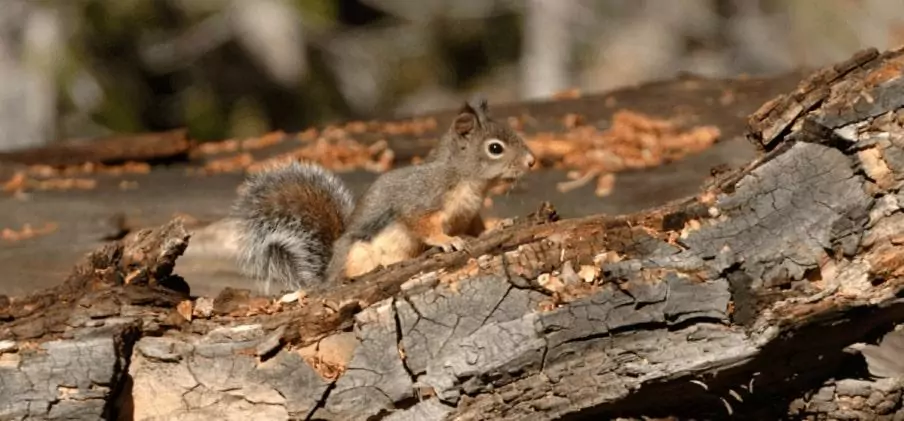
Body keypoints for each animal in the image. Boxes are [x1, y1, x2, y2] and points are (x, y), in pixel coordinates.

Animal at [230, 96, 536, 294]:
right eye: (495, 148)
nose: (532, 162)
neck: (466, 181)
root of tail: (326, 277)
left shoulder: (469, 215)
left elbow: (479, 228)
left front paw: (500, 225)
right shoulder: (420, 201)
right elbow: (422, 226)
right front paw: (447, 241)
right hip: (359, 256)